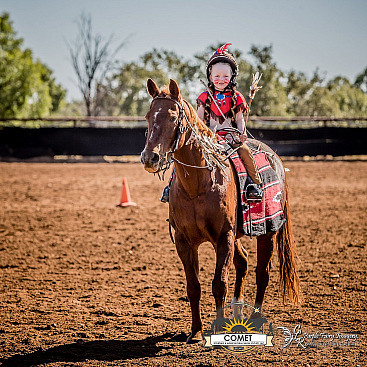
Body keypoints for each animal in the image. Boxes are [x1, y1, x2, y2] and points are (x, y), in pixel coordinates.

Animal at [139, 78, 300, 344]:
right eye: (148, 116)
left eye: (172, 118)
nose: (149, 158)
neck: (197, 184)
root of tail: (275, 158)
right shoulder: (184, 241)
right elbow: (193, 286)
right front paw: (196, 331)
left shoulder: (223, 237)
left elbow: (219, 283)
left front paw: (219, 326)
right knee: (243, 263)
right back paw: (238, 311)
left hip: (267, 231)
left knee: (262, 272)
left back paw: (255, 318)